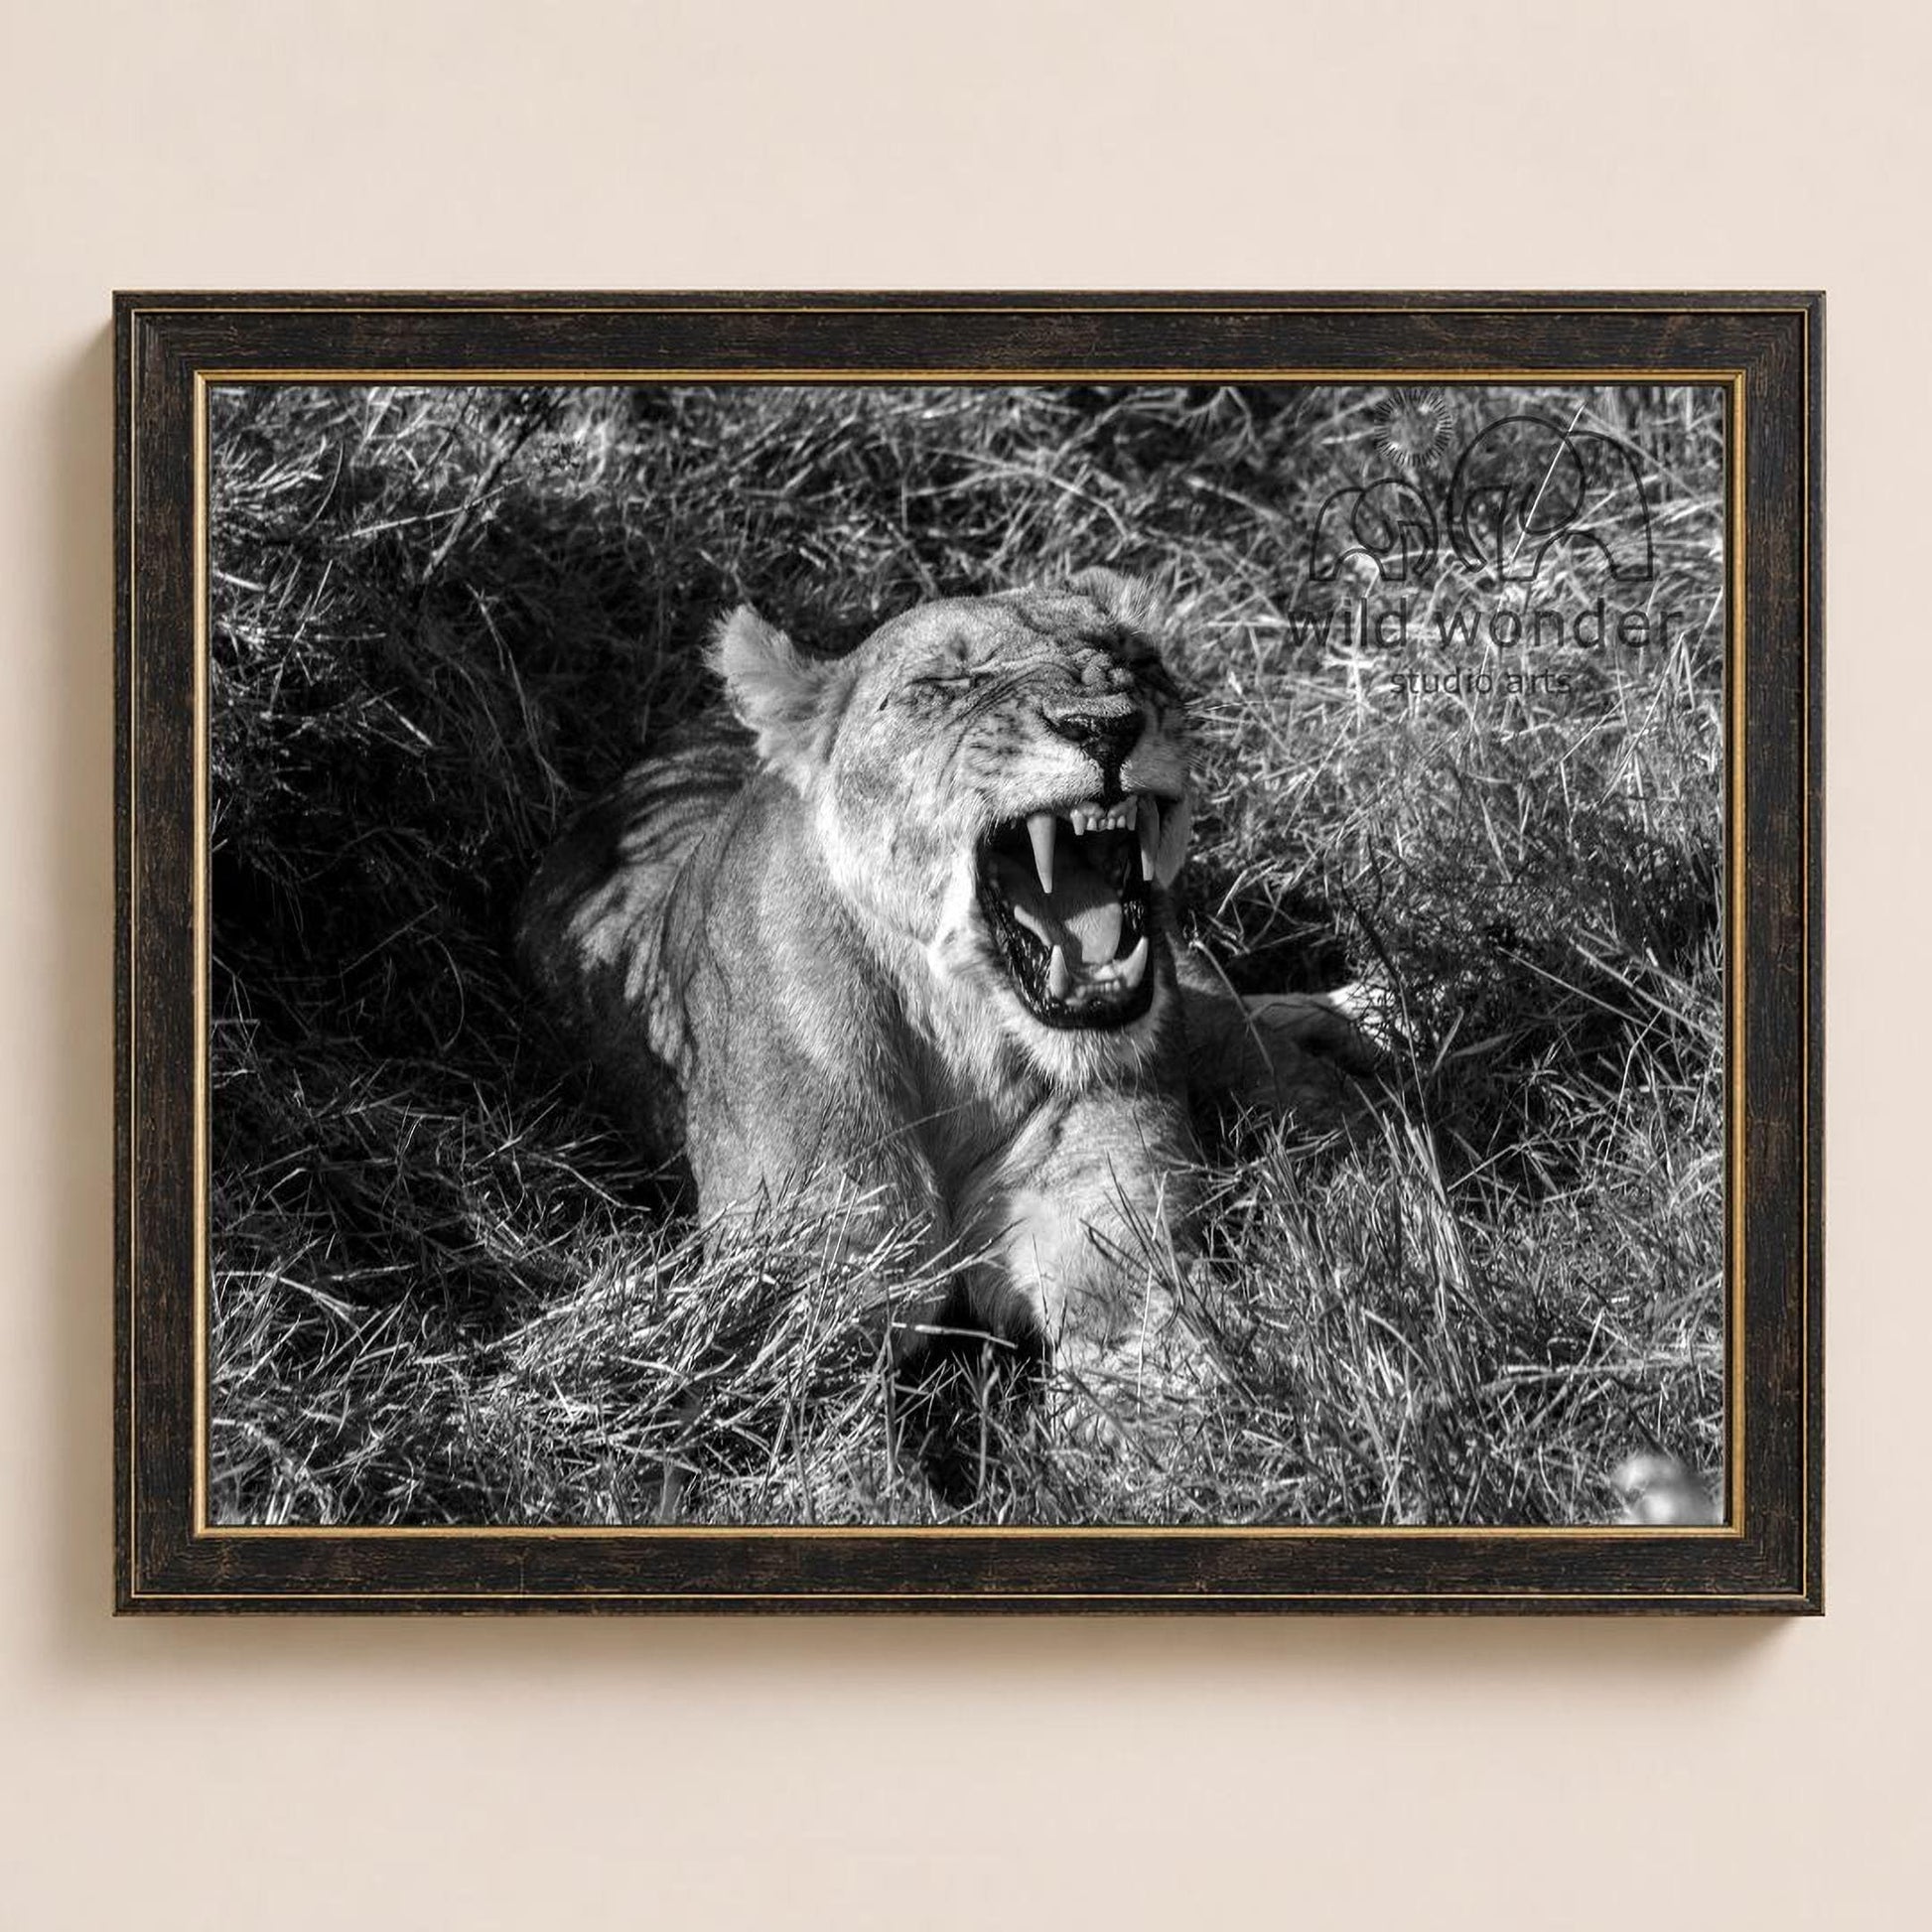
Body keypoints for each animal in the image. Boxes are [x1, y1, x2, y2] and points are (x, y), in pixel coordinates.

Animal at [518, 572, 1363, 1423]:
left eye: (1137, 659)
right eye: (945, 682)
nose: (1106, 727)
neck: (963, 1038)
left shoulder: (1113, 1240)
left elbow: (1168, 1403)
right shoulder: (806, 1293)